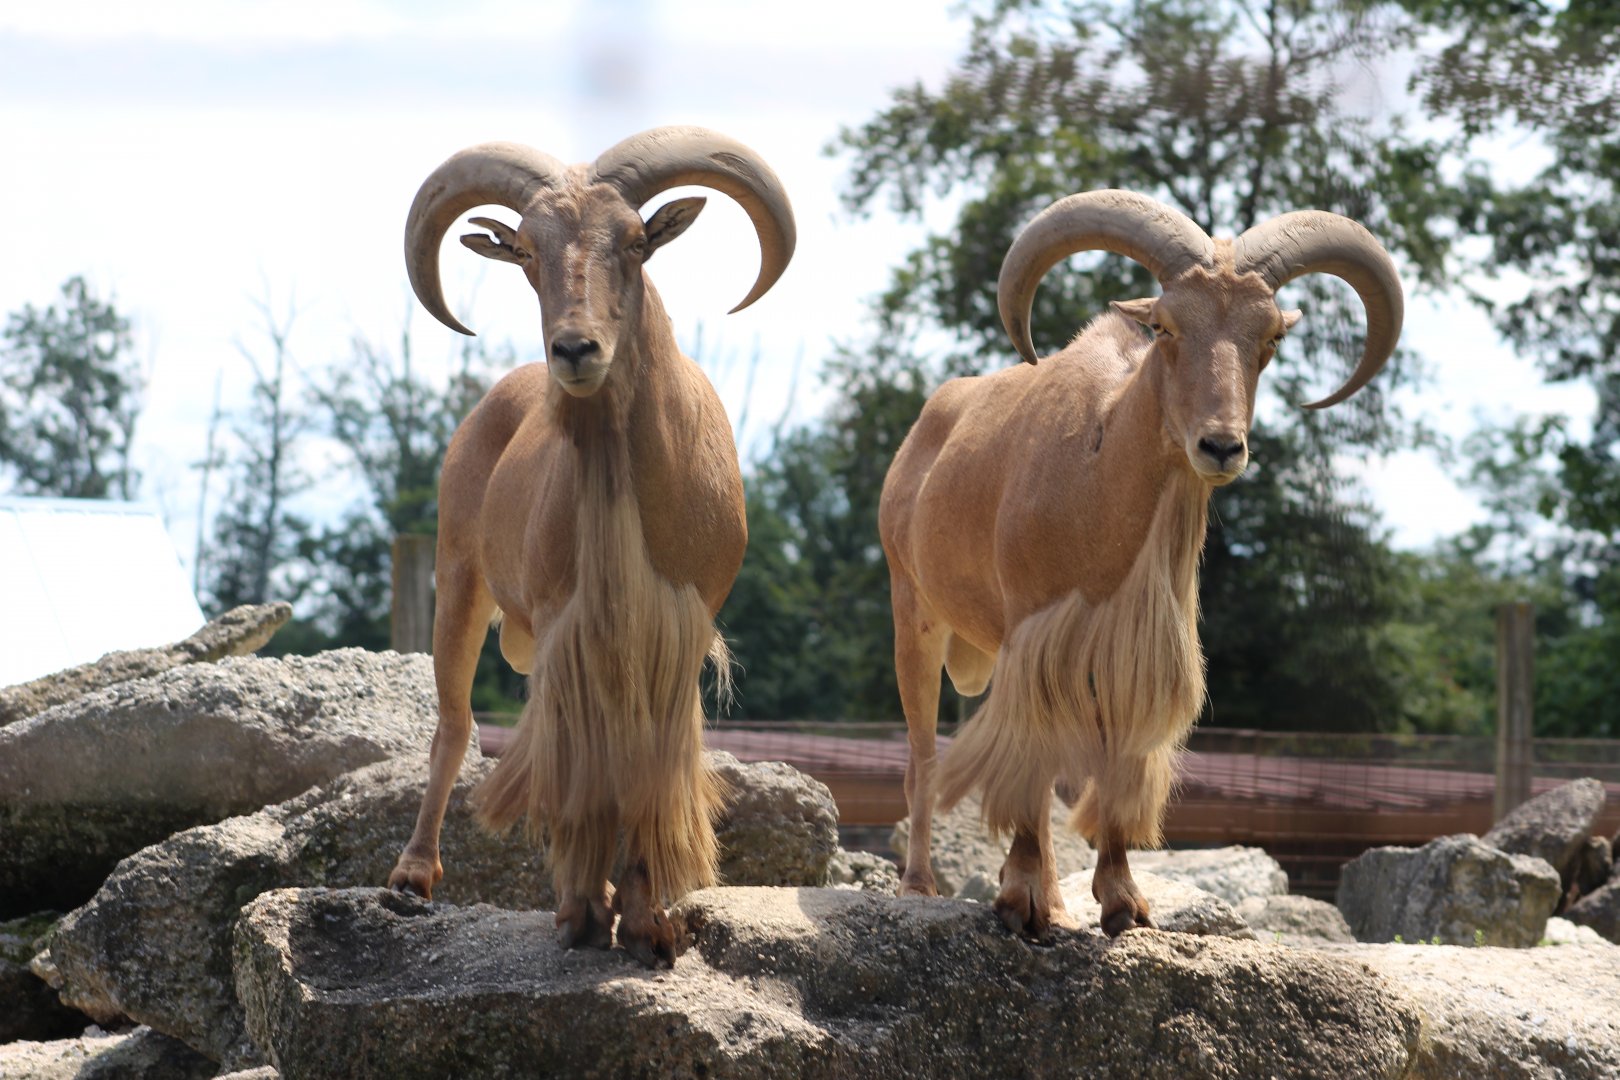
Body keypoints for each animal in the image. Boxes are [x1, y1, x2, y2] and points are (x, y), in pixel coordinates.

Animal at [386, 126, 795, 968]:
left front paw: (645, 922)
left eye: (636, 242)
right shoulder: (567, 627)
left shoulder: (677, 629)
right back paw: (413, 875)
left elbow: (642, 766)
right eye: (526, 250)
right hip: (457, 577)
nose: (575, 350)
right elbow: (576, 765)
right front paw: (581, 912)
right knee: (454, 726)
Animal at [882, 190, 1402, 937]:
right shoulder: (1031, 635)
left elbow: (1115, 766)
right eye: (1163, 326)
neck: (1099, 492)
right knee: (924, 755)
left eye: (1271, 336)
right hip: (914, 613)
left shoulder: (1132, 651)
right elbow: (1023, 761)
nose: (1221, 445)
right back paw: (922, 884)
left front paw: (1122, 902)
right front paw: (1019, 898)